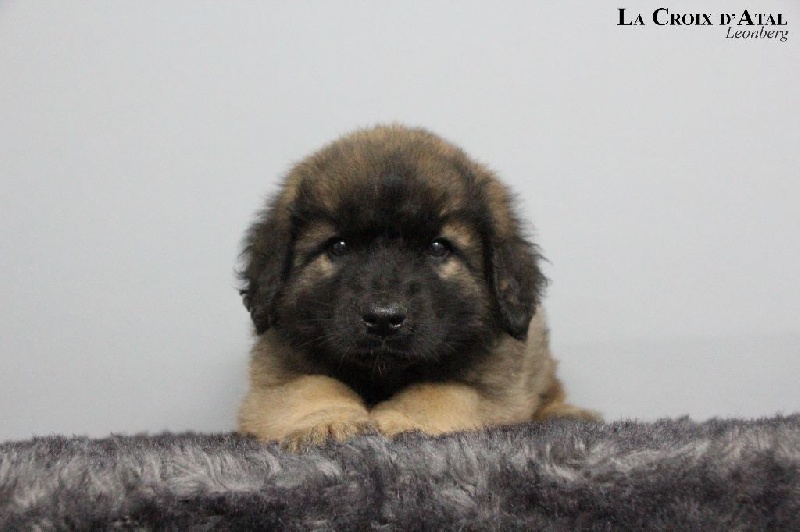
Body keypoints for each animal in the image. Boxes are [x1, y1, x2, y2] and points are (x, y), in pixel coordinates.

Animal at [237, 125, 597, 450]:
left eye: (438, 248)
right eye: (338, 246)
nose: (383, 319)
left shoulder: (495, 386)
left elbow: (439, 392)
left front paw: (400, 421)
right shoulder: (275, 373)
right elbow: (312, 387)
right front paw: (327, 423)